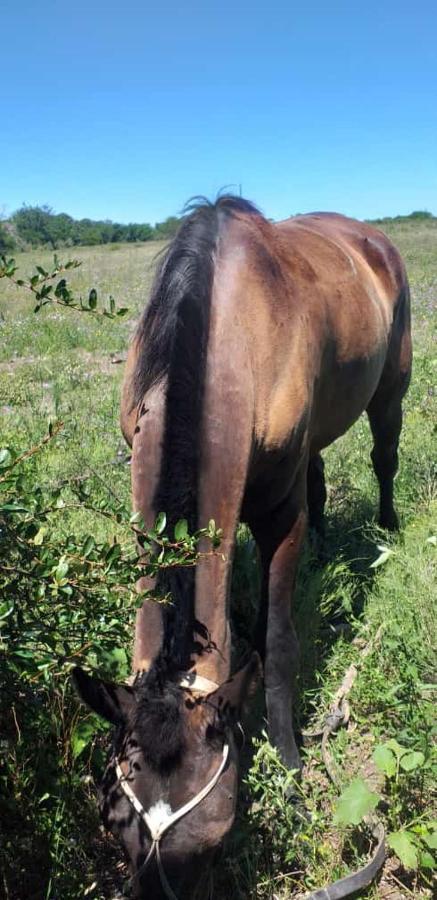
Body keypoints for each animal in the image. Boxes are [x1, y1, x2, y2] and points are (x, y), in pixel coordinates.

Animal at [73, 199, 410, 900]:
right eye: (116, 825)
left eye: (217, 834)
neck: (223, 337)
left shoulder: (280, 520)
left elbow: (275, 645)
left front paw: (291, 766)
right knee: (320, 468)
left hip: (394, 382)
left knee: (384, 451)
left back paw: (387, 526)